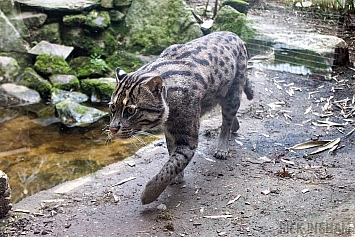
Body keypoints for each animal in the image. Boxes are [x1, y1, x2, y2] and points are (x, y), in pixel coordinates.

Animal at [108, 31, 253, 205]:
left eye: (130, 110)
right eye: (112, 107)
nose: (113, 128)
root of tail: (234, 34)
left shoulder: (188, 139)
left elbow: (174, 163)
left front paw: (149, 194)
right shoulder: (170, 131)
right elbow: (172, 155)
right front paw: (177, 177)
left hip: (233, 93)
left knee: (226, 120)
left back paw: (222, 147)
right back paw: (235, 127)